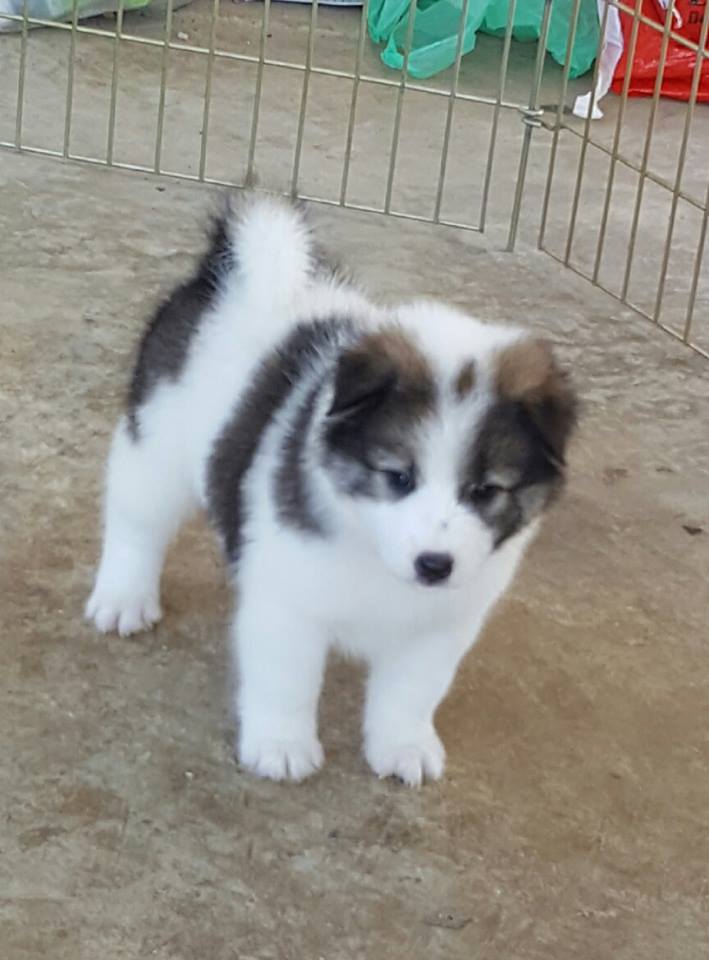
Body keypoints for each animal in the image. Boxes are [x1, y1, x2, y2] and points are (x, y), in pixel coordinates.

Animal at [86, 192, 577, 785]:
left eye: (485, 490)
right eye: (398, 477)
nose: (434, 566)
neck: (370, 547)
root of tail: (221, 274)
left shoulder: (441, 627)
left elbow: (412, 693)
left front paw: (404, 746)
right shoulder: (290, 603)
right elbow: (286, 680)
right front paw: (281, 747)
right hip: (155, 446)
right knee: (137, 522)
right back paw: (123, 599)